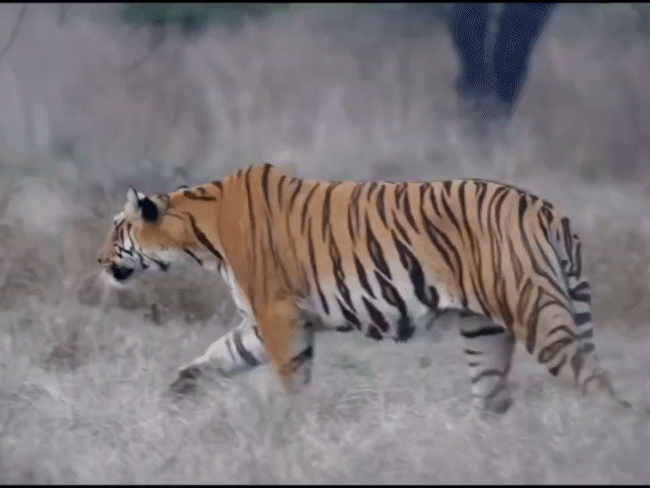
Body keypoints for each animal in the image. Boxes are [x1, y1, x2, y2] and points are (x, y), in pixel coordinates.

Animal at [97, 162, 628, 414]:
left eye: (116, 229)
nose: (99, 261)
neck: (198, 233)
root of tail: (549, 210)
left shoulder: (278, 314)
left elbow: (290, 378)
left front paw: (291, 426)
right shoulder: (260, 322)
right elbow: (219, 354)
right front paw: (178, 390)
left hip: (535, 309)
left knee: (594, 377)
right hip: (485, 330)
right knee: (493, 398)